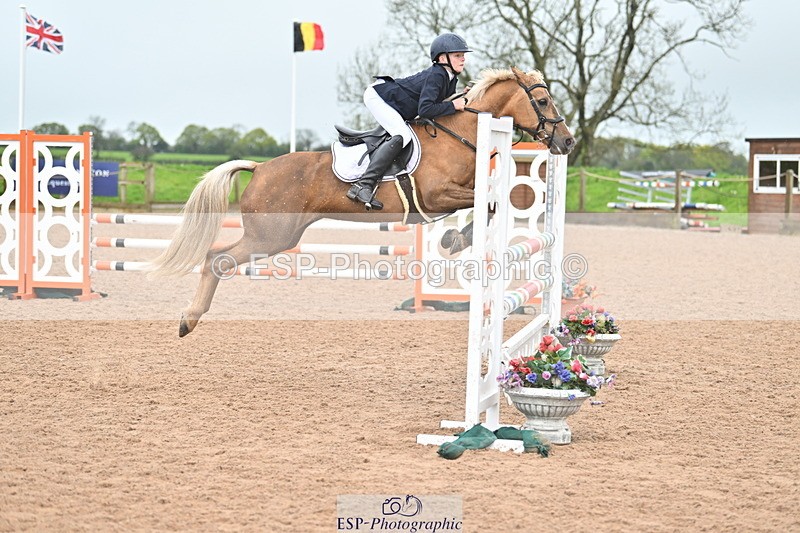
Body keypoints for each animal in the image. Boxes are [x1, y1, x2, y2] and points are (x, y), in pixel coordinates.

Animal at [149, 66, 575, 337]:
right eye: (542, 100)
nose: (567, 142)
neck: (462, 131)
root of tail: (260, 167)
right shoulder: (437, 196)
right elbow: (489, 203)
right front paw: (456, 240)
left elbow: (491, 202)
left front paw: (455, 239)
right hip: (269, 237)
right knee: (215, 259)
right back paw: (188, 320)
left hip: (279, 237)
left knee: (217, 258)